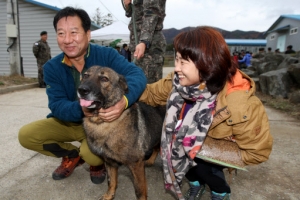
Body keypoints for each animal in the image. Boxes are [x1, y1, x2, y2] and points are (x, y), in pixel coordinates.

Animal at [77, 66, 165, 200]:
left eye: (104, 79)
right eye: (86, 76)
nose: (82, 90)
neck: (101, 123)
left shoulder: (136, 165)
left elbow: (140, 190)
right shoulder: (109, 162)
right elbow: (111, 182)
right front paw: (109, 196)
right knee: (156, 147)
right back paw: (150, 160)